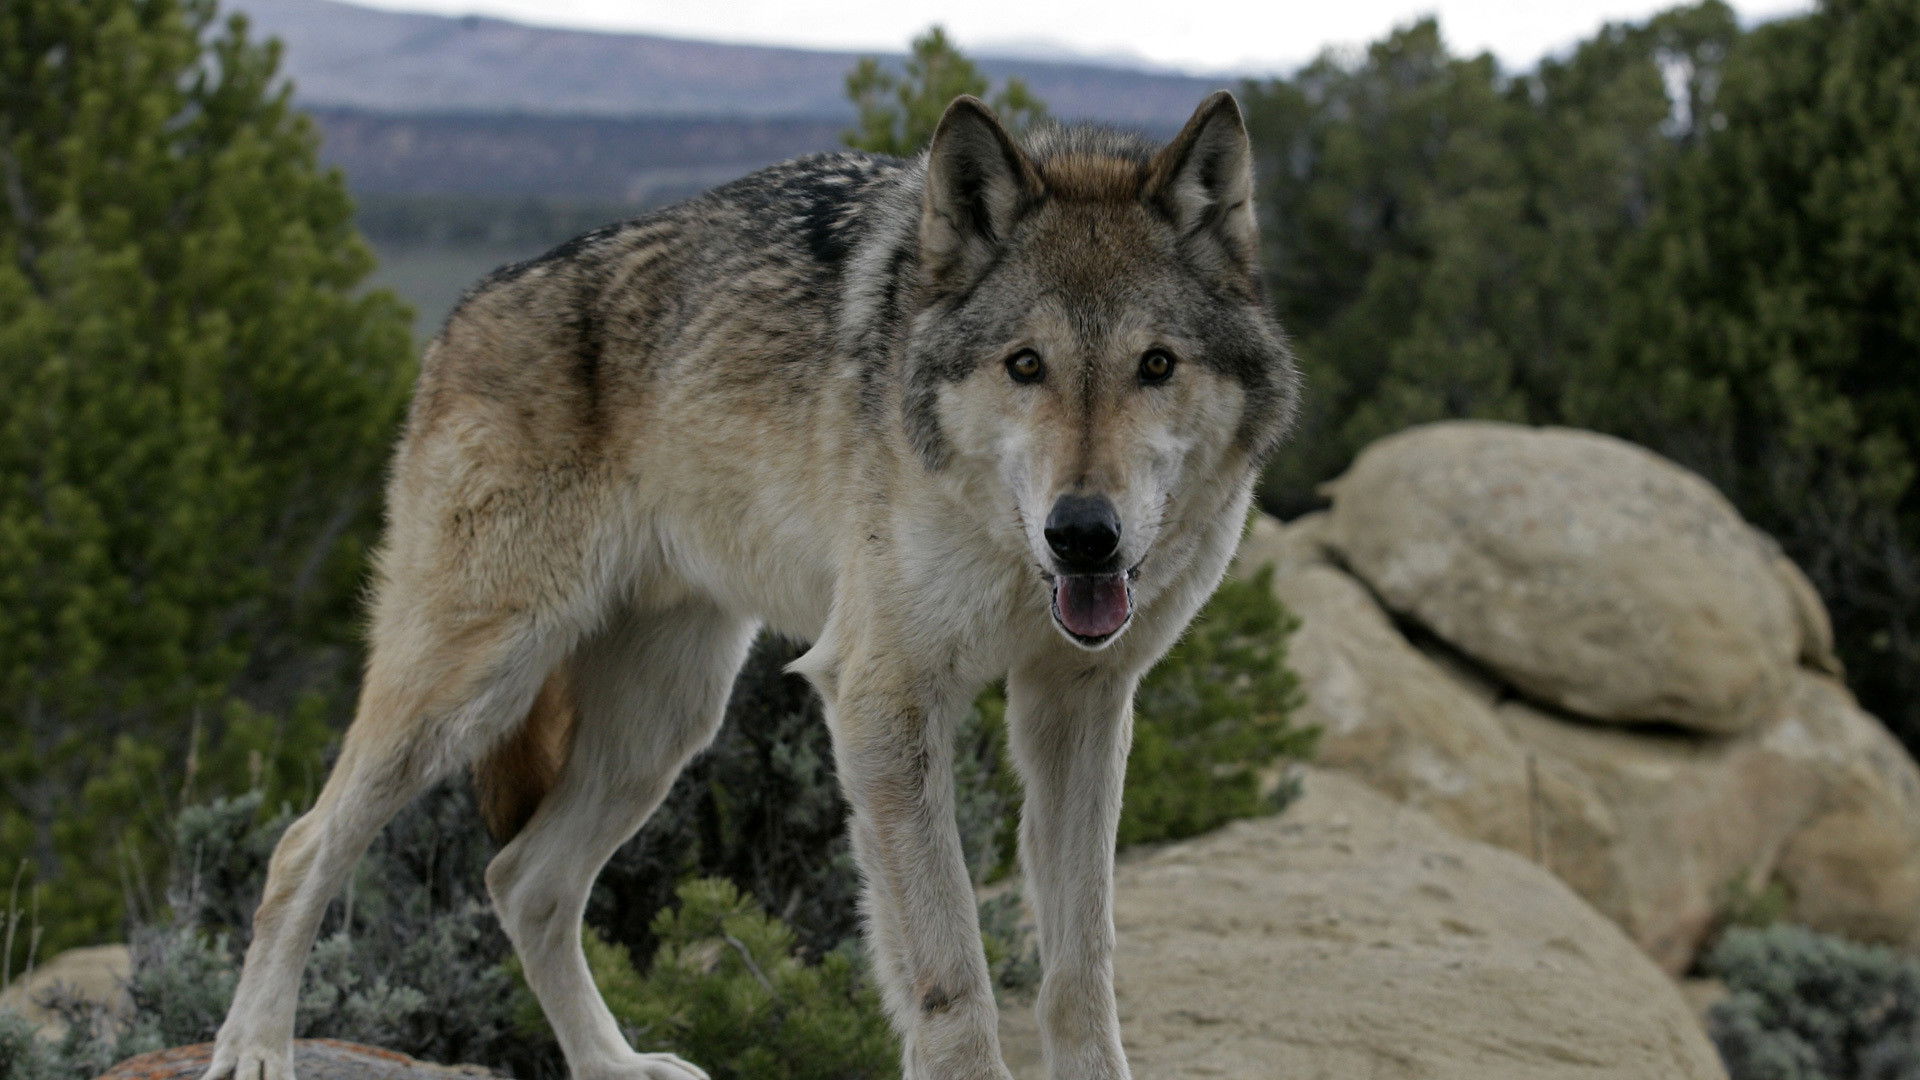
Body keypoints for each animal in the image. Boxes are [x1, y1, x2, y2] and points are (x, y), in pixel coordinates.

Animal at [204, 91, 1298, 1080]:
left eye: (1156, 365)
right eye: (1025, 365)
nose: (1082, 536)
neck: (1004, 546)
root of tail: (460, 317)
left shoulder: (1079, 703)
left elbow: (1080, 969)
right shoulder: (882, 698)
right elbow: (951, 983)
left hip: (666, 724)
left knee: (522, 881)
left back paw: (614, 1065)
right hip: (472, 688)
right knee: (301, 847)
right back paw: (256, 1049)